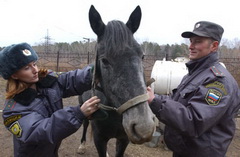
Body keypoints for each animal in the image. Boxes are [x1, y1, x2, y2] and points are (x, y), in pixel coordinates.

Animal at [77, 5, 156, 157]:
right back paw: (82, 145)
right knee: (85, 124)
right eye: (104, 60)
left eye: (142, 56)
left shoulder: (124, 139)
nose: (144, 127)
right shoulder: (99, 139)